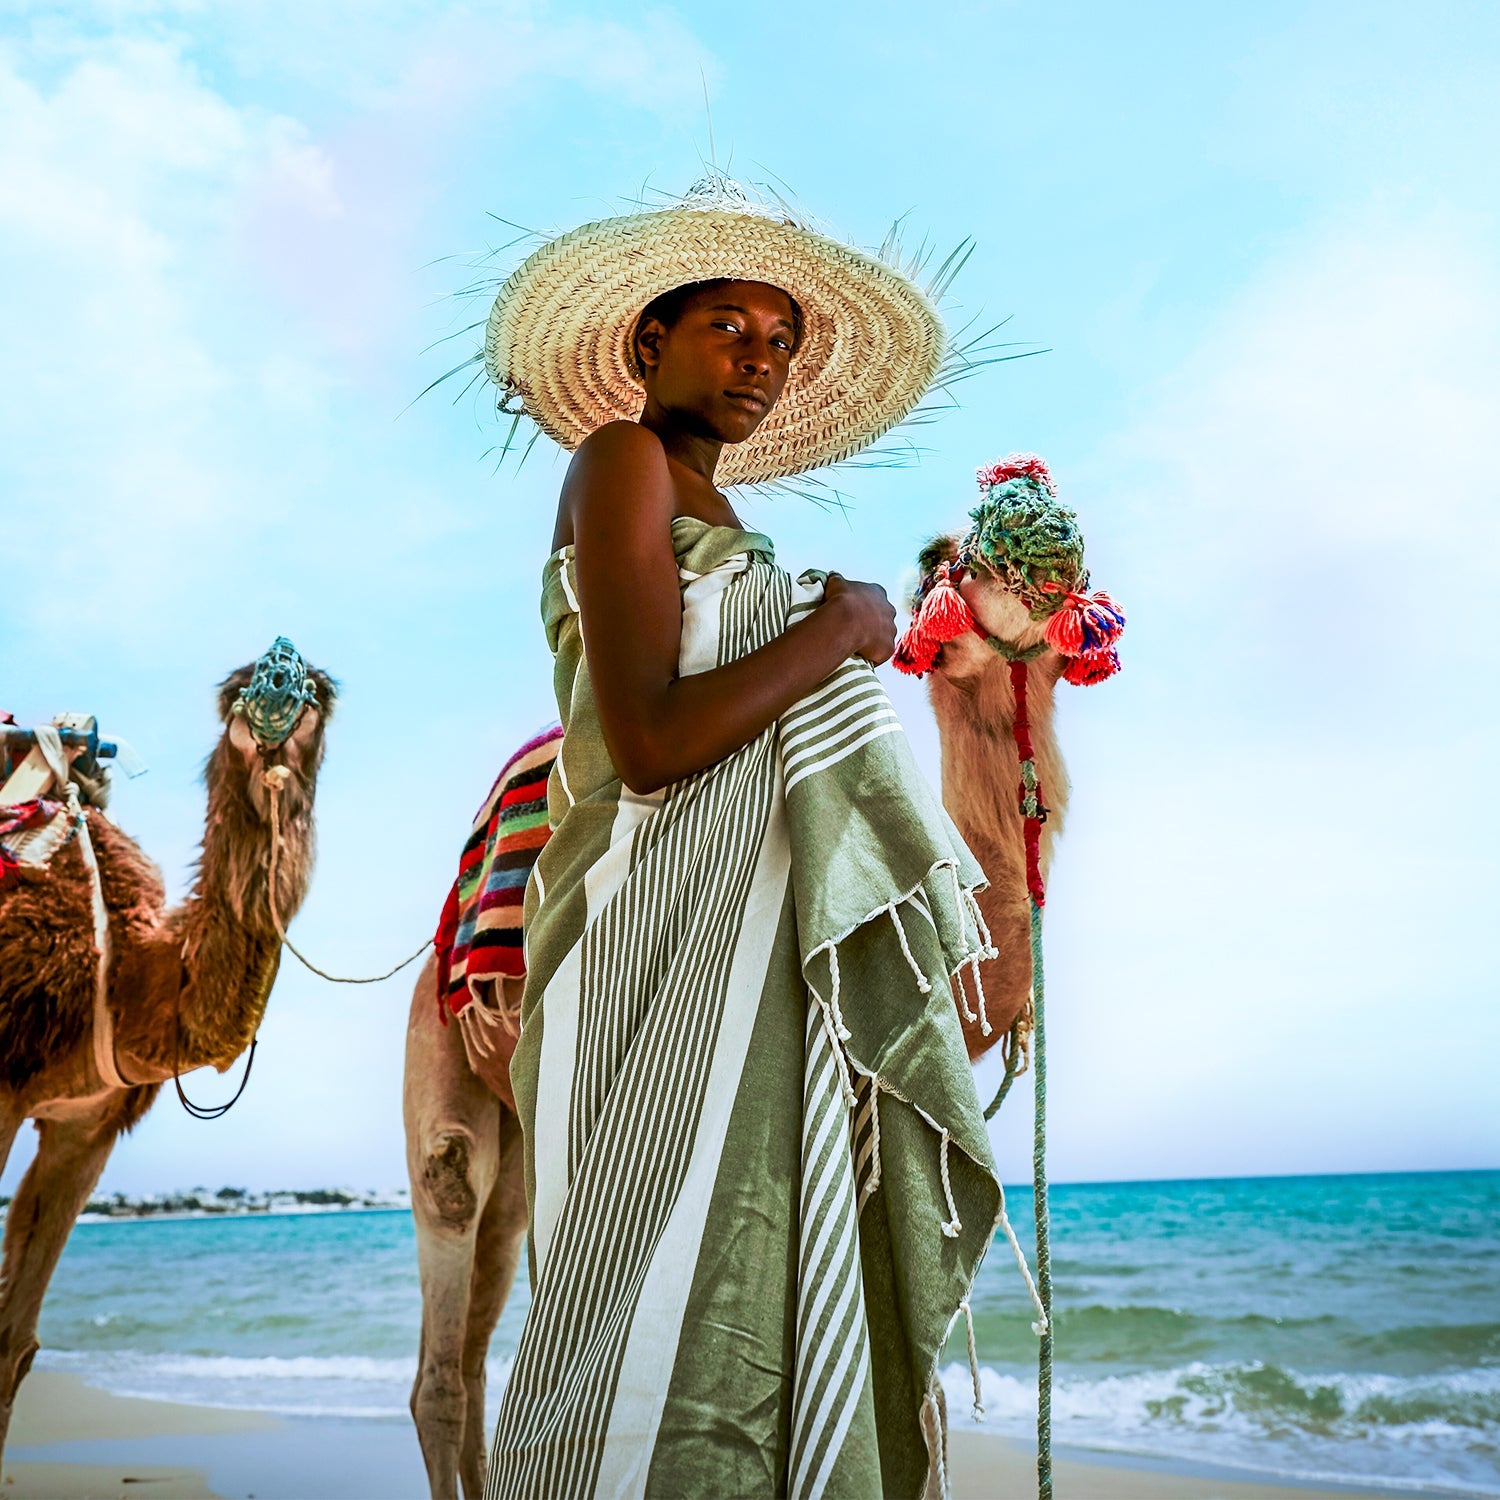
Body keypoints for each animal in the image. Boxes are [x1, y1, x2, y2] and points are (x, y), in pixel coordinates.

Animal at [0, 645, 331, 1464]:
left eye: (319, 690)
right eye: (238, 689)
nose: (280, 676)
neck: (120, 968)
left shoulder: (85, 1125)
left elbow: (14, 1342)